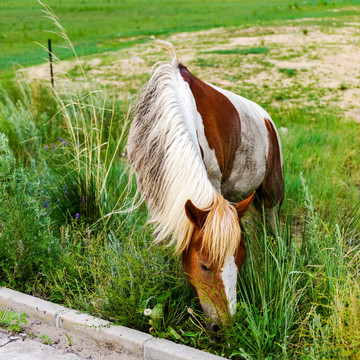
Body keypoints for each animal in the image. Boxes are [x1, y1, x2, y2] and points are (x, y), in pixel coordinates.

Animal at [126, 43, 284, 334]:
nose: (225, 325)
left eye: (240, 260)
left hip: (271, 191)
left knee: (272, 222)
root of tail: (266, 117)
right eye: (204, 266)